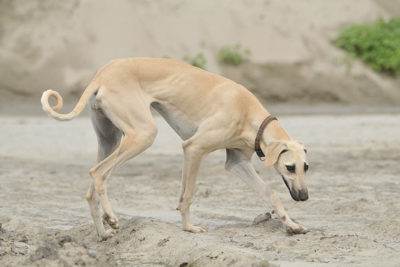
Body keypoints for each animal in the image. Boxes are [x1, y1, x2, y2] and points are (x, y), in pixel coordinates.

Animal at [40, 57, 310, 242]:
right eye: (289, 167)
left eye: (305, 167)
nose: (304, 197)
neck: (248, 113)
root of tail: (102, 74)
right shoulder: (194, 149)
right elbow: (188, 195)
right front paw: (189, 228)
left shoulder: (237, 163)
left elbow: (270, 193)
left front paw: (292, 225)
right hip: (142, 135)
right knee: (98, 173)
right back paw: (112, 219)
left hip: (110, 139)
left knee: (91, 189)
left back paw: (103, 232)